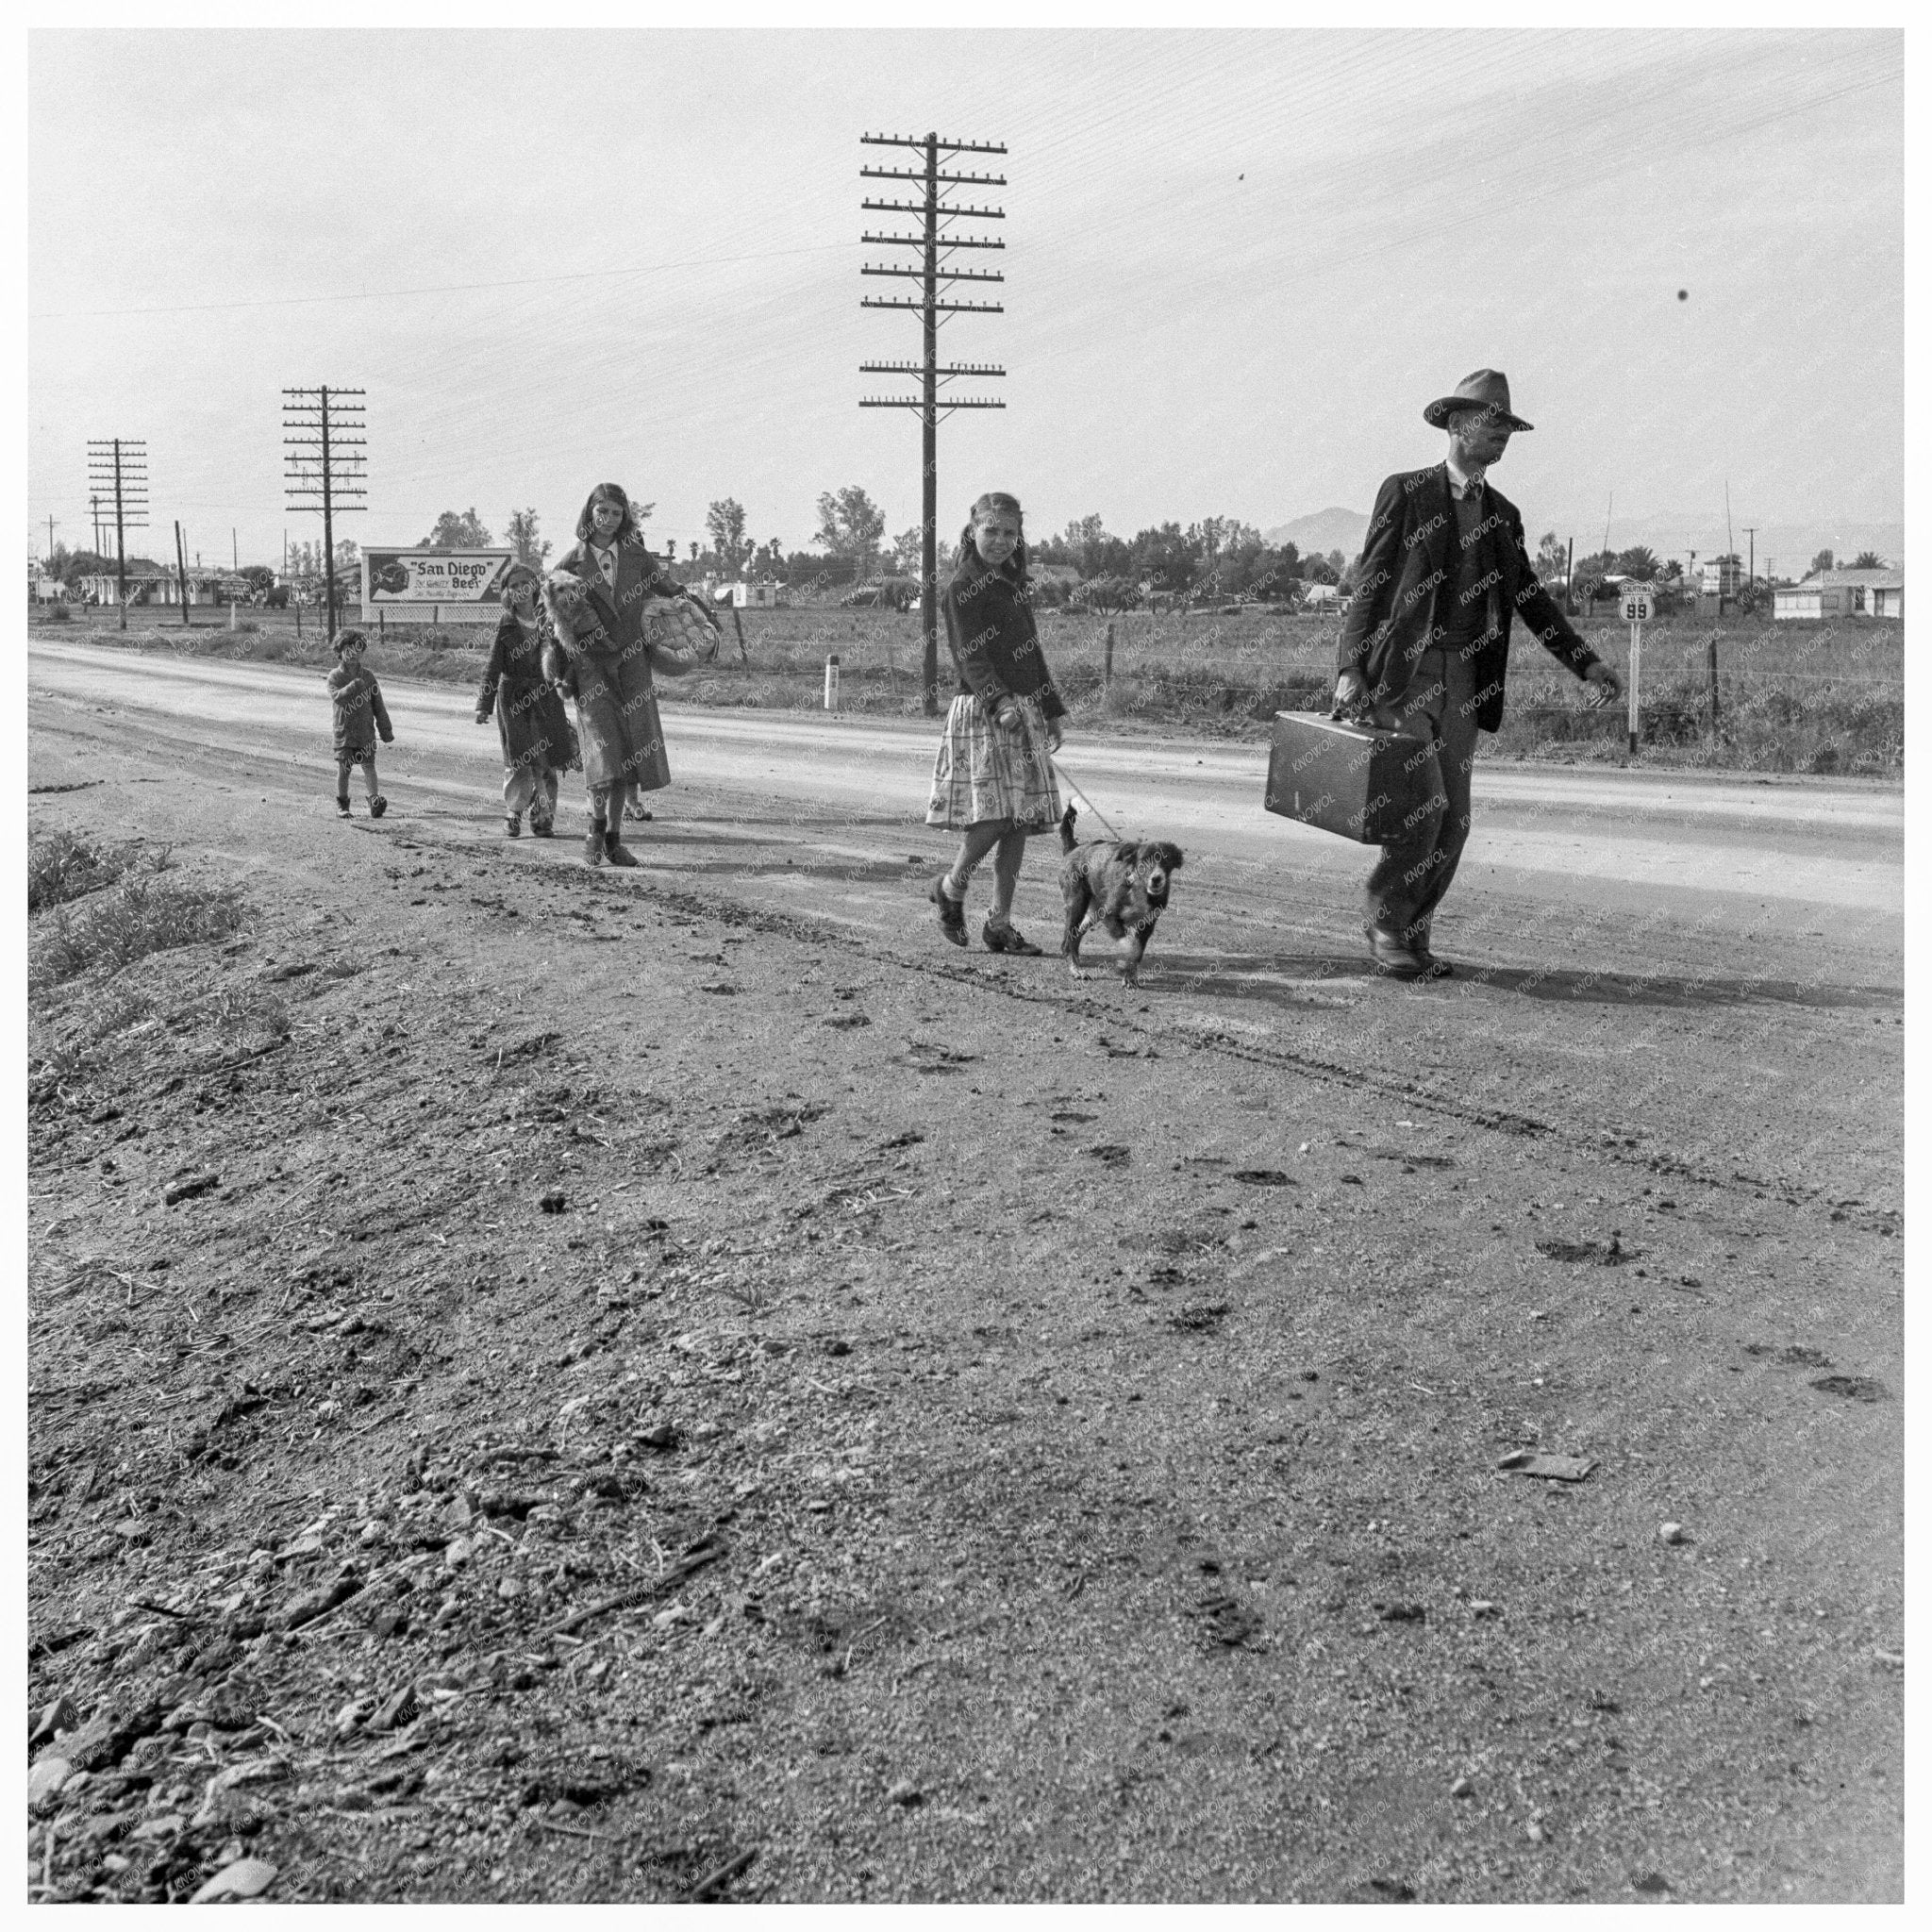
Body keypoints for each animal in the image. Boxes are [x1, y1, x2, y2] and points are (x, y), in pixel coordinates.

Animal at [1058, 803, 1174, 981]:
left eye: (1166, 861)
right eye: (1144, 860)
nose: (1157, 878)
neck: (1137, 887)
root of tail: (1074, 848)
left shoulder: (1147, 924)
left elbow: (1137, 951)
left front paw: (1130, 977)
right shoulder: (1112, 917)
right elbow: (1129, 945)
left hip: (1094, 912)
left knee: (1077, 935)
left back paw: (1077, 962)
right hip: (1077, 905)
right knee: (1067, 941)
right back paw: (1076, 969)